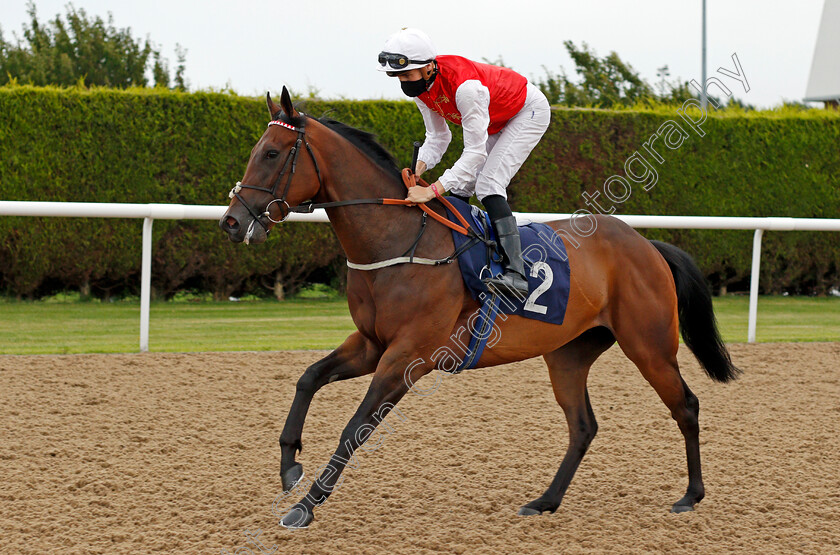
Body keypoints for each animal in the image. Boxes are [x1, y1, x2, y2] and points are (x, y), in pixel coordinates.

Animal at [220, 87, 740, 528]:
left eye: (271, 153)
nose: (231, 222)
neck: (399, 241)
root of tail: (647, 244)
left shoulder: (407, 357)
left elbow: (355, 427)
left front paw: (306, 506)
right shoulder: (370, 344)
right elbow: (308, 378)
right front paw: (290, 467)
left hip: (649, 346)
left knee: (686, 405)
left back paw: (690, 495)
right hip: (569, 353)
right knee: (583, 426)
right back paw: (544, 501)